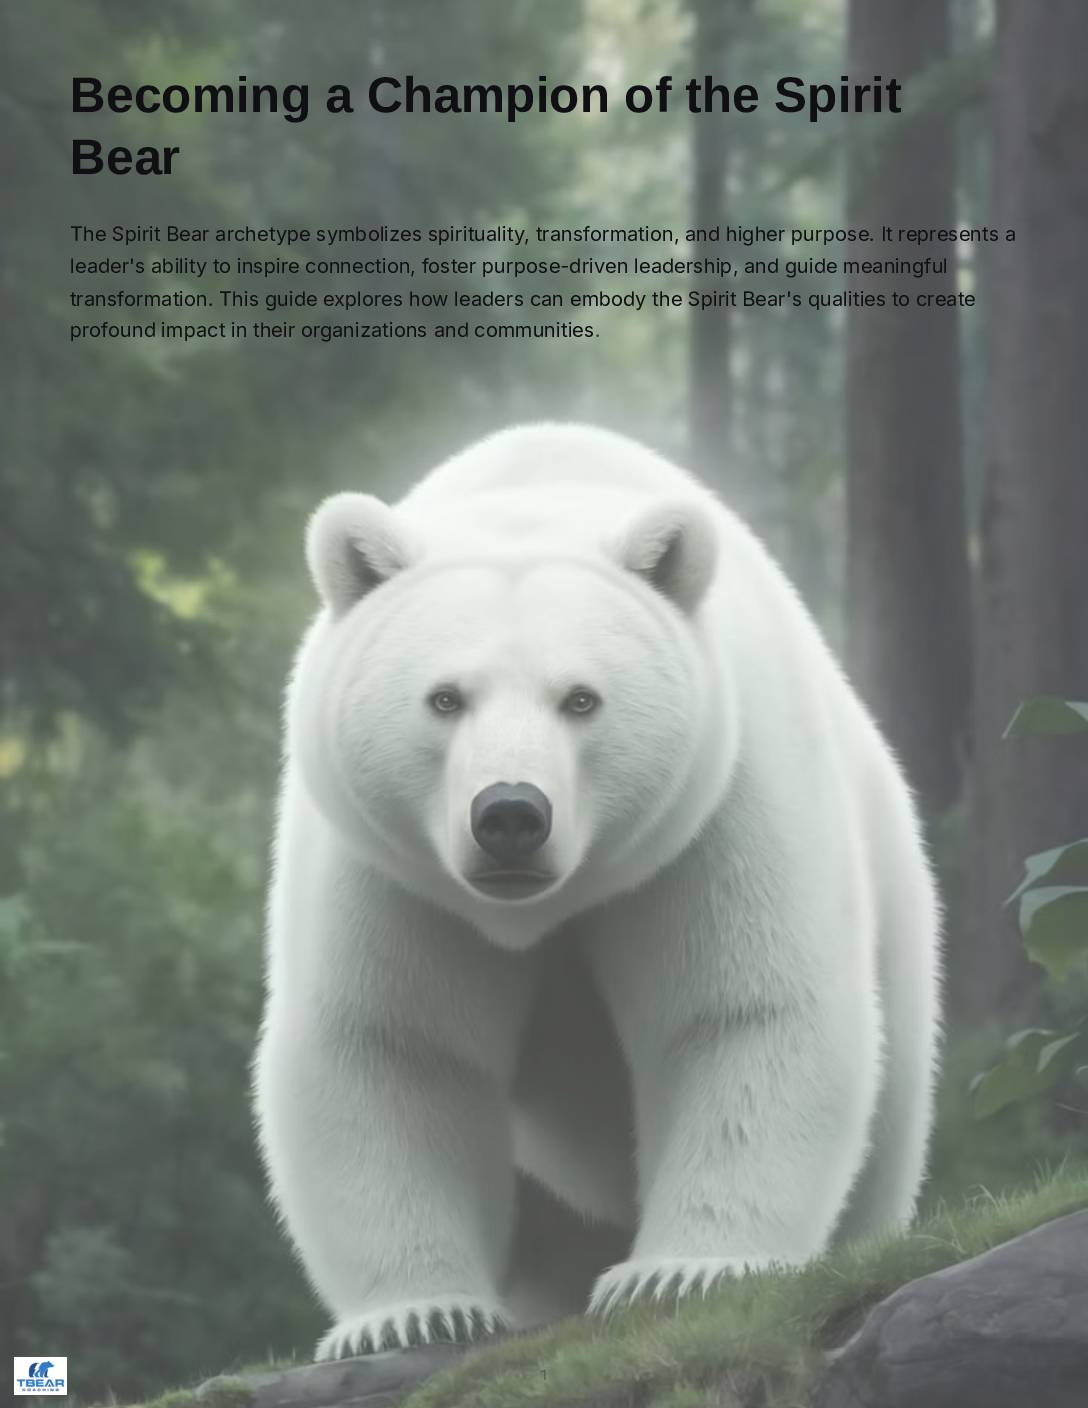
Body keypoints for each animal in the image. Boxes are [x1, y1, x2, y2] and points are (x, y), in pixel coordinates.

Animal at [253, 422, 941, 1362]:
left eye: (581, 699)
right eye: (444, 698)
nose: (510, 814)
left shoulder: (714, 812)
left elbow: (741, 1010)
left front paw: (682, 1272)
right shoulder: (392, 869)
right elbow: (394, 1047)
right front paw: (416, 1315)